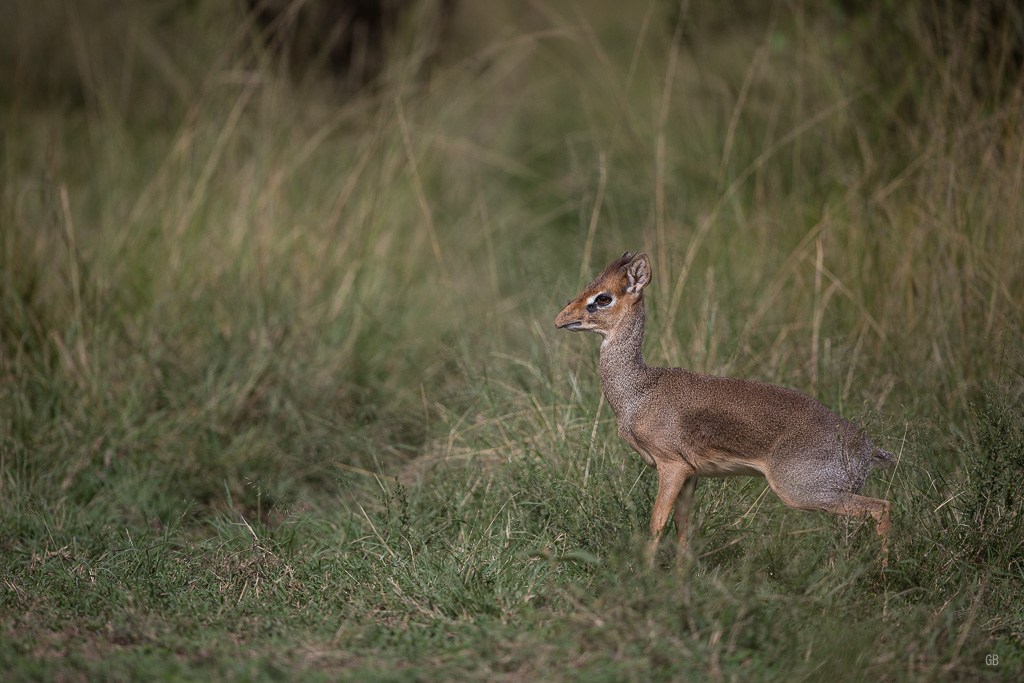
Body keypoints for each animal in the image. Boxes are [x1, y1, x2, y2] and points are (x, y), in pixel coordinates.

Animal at [552, 250, 897, 565]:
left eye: (603, 297)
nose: (560, 320)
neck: (640, 391)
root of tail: (866, 447)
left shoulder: (671, 465)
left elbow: (656, 523)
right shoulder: (692, 473)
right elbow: (682, 524)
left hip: (802, 491)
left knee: (880, 508)